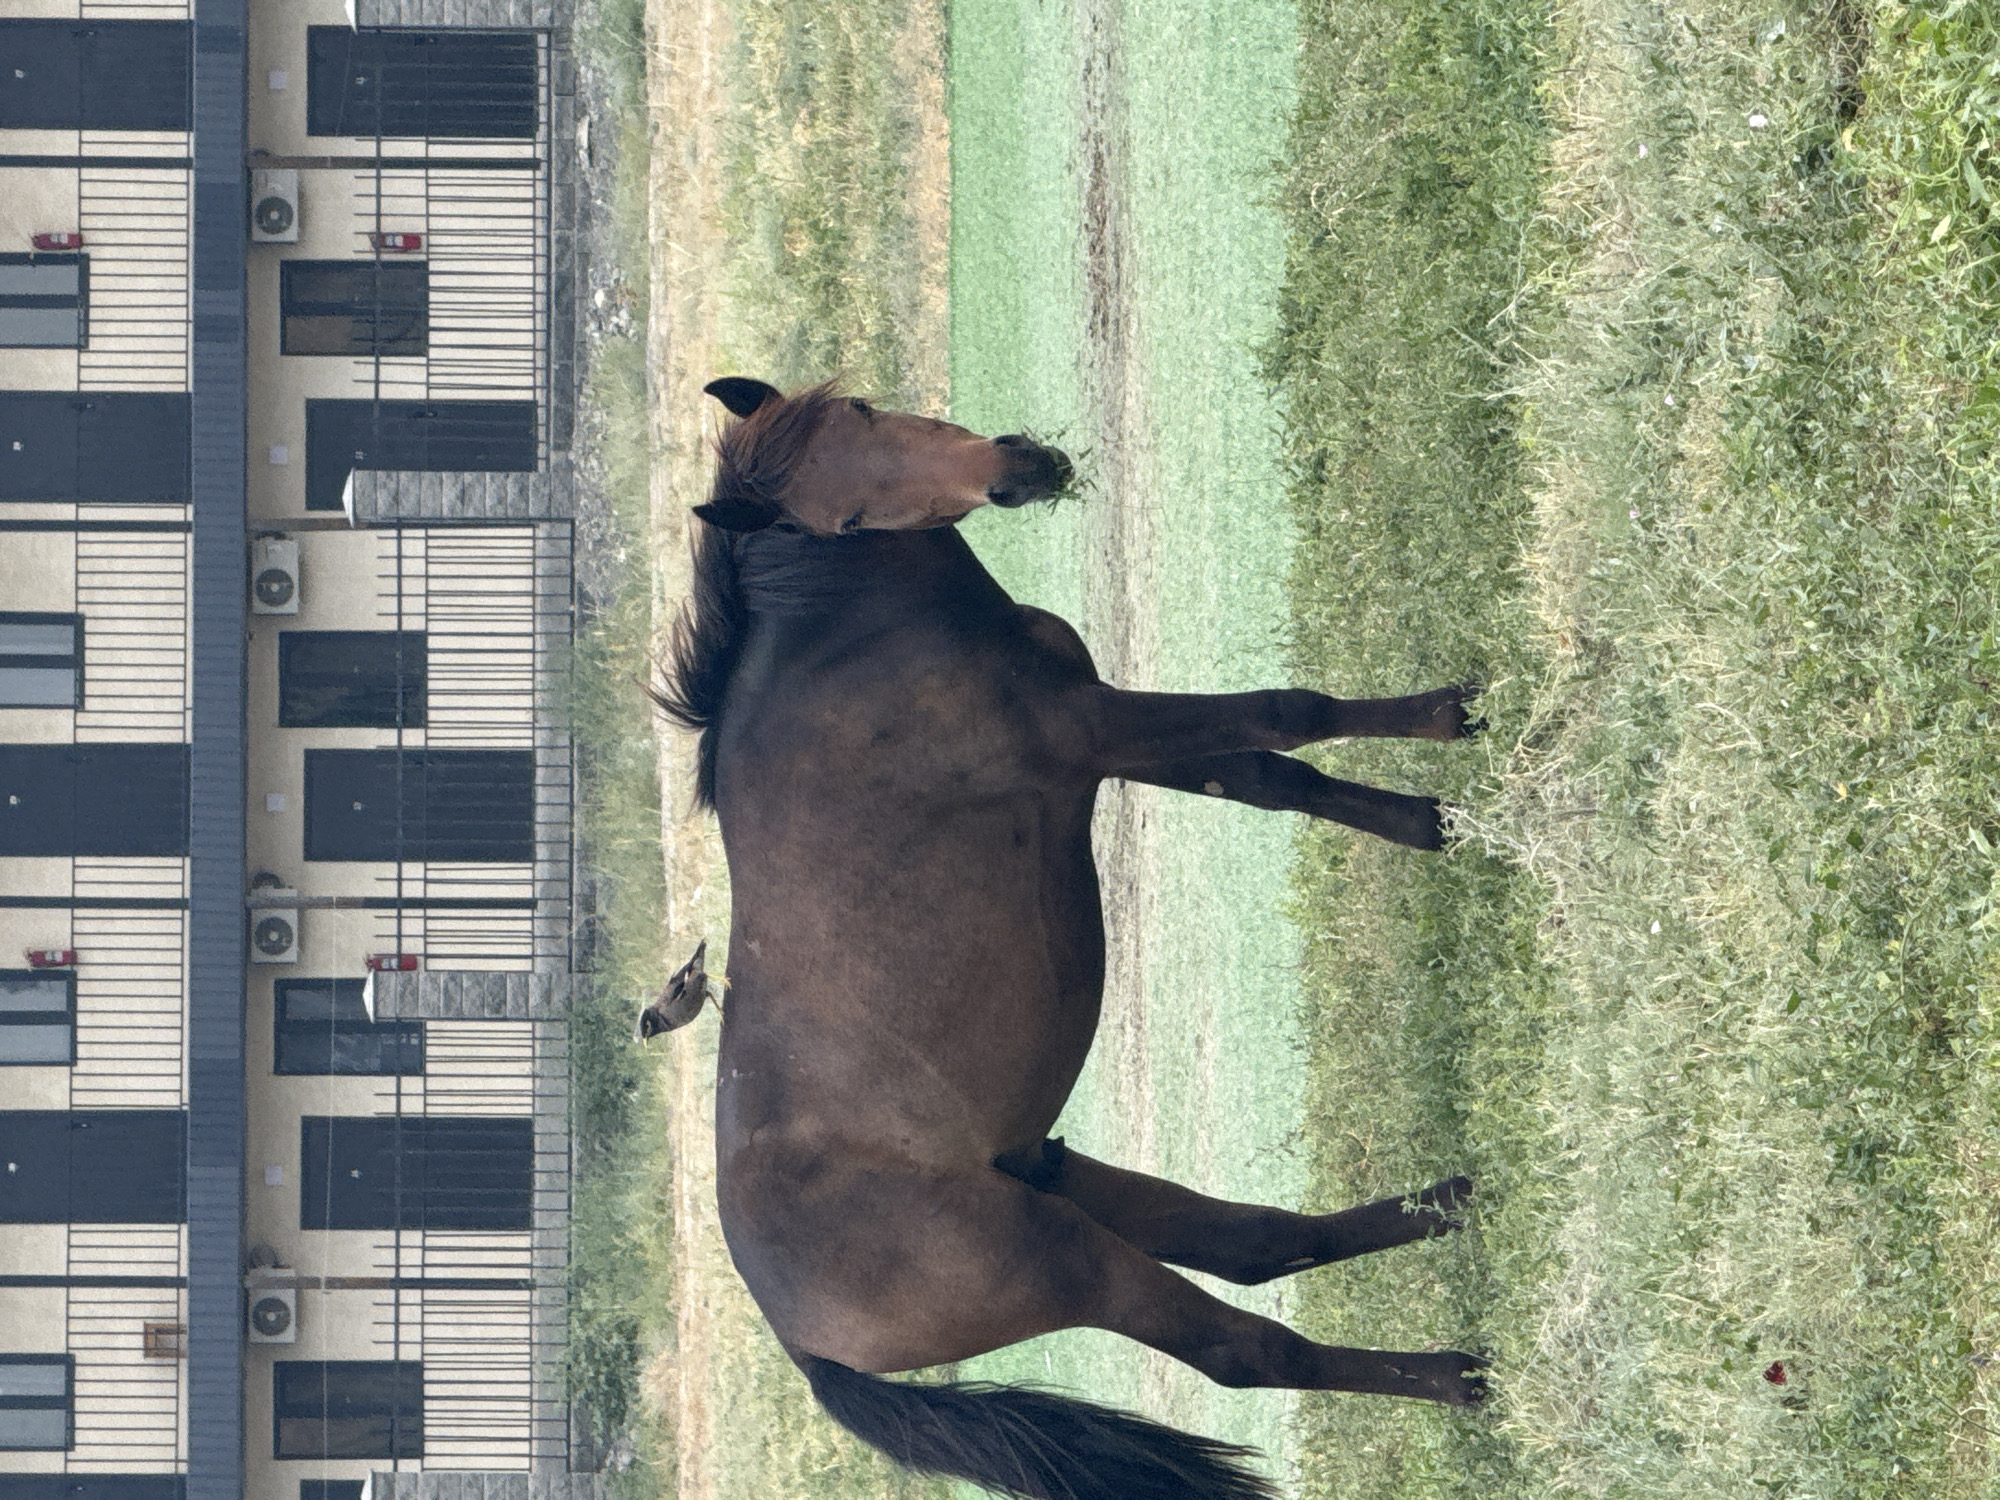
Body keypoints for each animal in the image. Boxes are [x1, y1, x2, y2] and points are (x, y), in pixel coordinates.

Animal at [651, 376, 1489, 1500]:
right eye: (846, 522)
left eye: (862, 410)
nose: (1014, 469)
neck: (844, 650)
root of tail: (806, 1349)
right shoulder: (1093, 728)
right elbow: (1287, 713)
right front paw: (1446, 719)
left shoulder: (1106, 746)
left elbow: (1274, 777)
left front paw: (1433, 822)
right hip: (1064, 1259)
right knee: (1246, 1349)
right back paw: (1456, 1376)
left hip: (1058, 1177)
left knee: (1259, 1246)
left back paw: (1453, 1204)